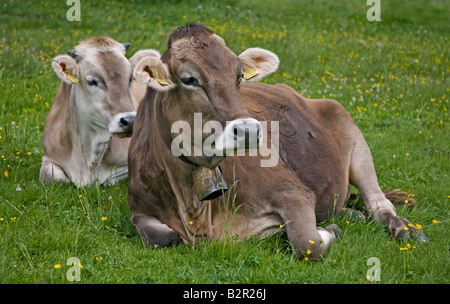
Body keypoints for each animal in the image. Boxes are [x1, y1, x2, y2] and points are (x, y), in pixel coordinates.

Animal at [126, 24, 426, 258]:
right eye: (189, 79)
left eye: (239, 76)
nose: (248, 130)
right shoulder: (138, 207)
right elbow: (162, 237)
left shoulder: (292, 192)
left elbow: (308, 242)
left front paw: (327, 230)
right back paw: (352, 214)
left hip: (355, 139)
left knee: (378, 204)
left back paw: (405, 229)